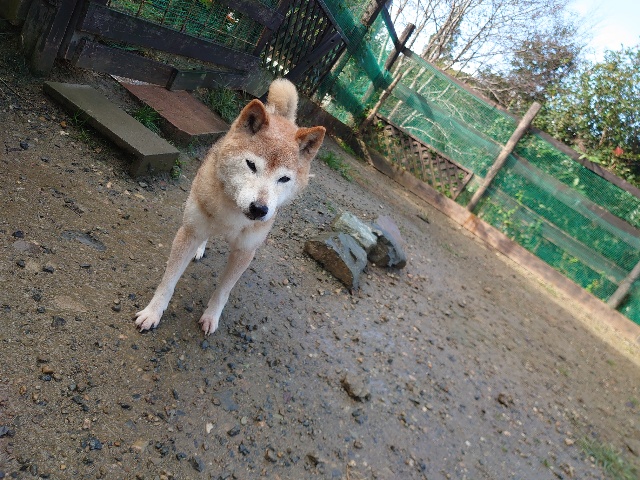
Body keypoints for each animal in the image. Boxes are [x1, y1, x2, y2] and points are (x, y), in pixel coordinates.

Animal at [135, 79, 325, 335]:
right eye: (251, 165)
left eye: (284, 179)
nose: (259, 209)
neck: (233, 213)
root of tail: (278, 116)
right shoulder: (189, 231)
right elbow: (169, 280)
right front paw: (153, 312)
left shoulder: (244, 251)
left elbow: (223, 291)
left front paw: (211, 316)